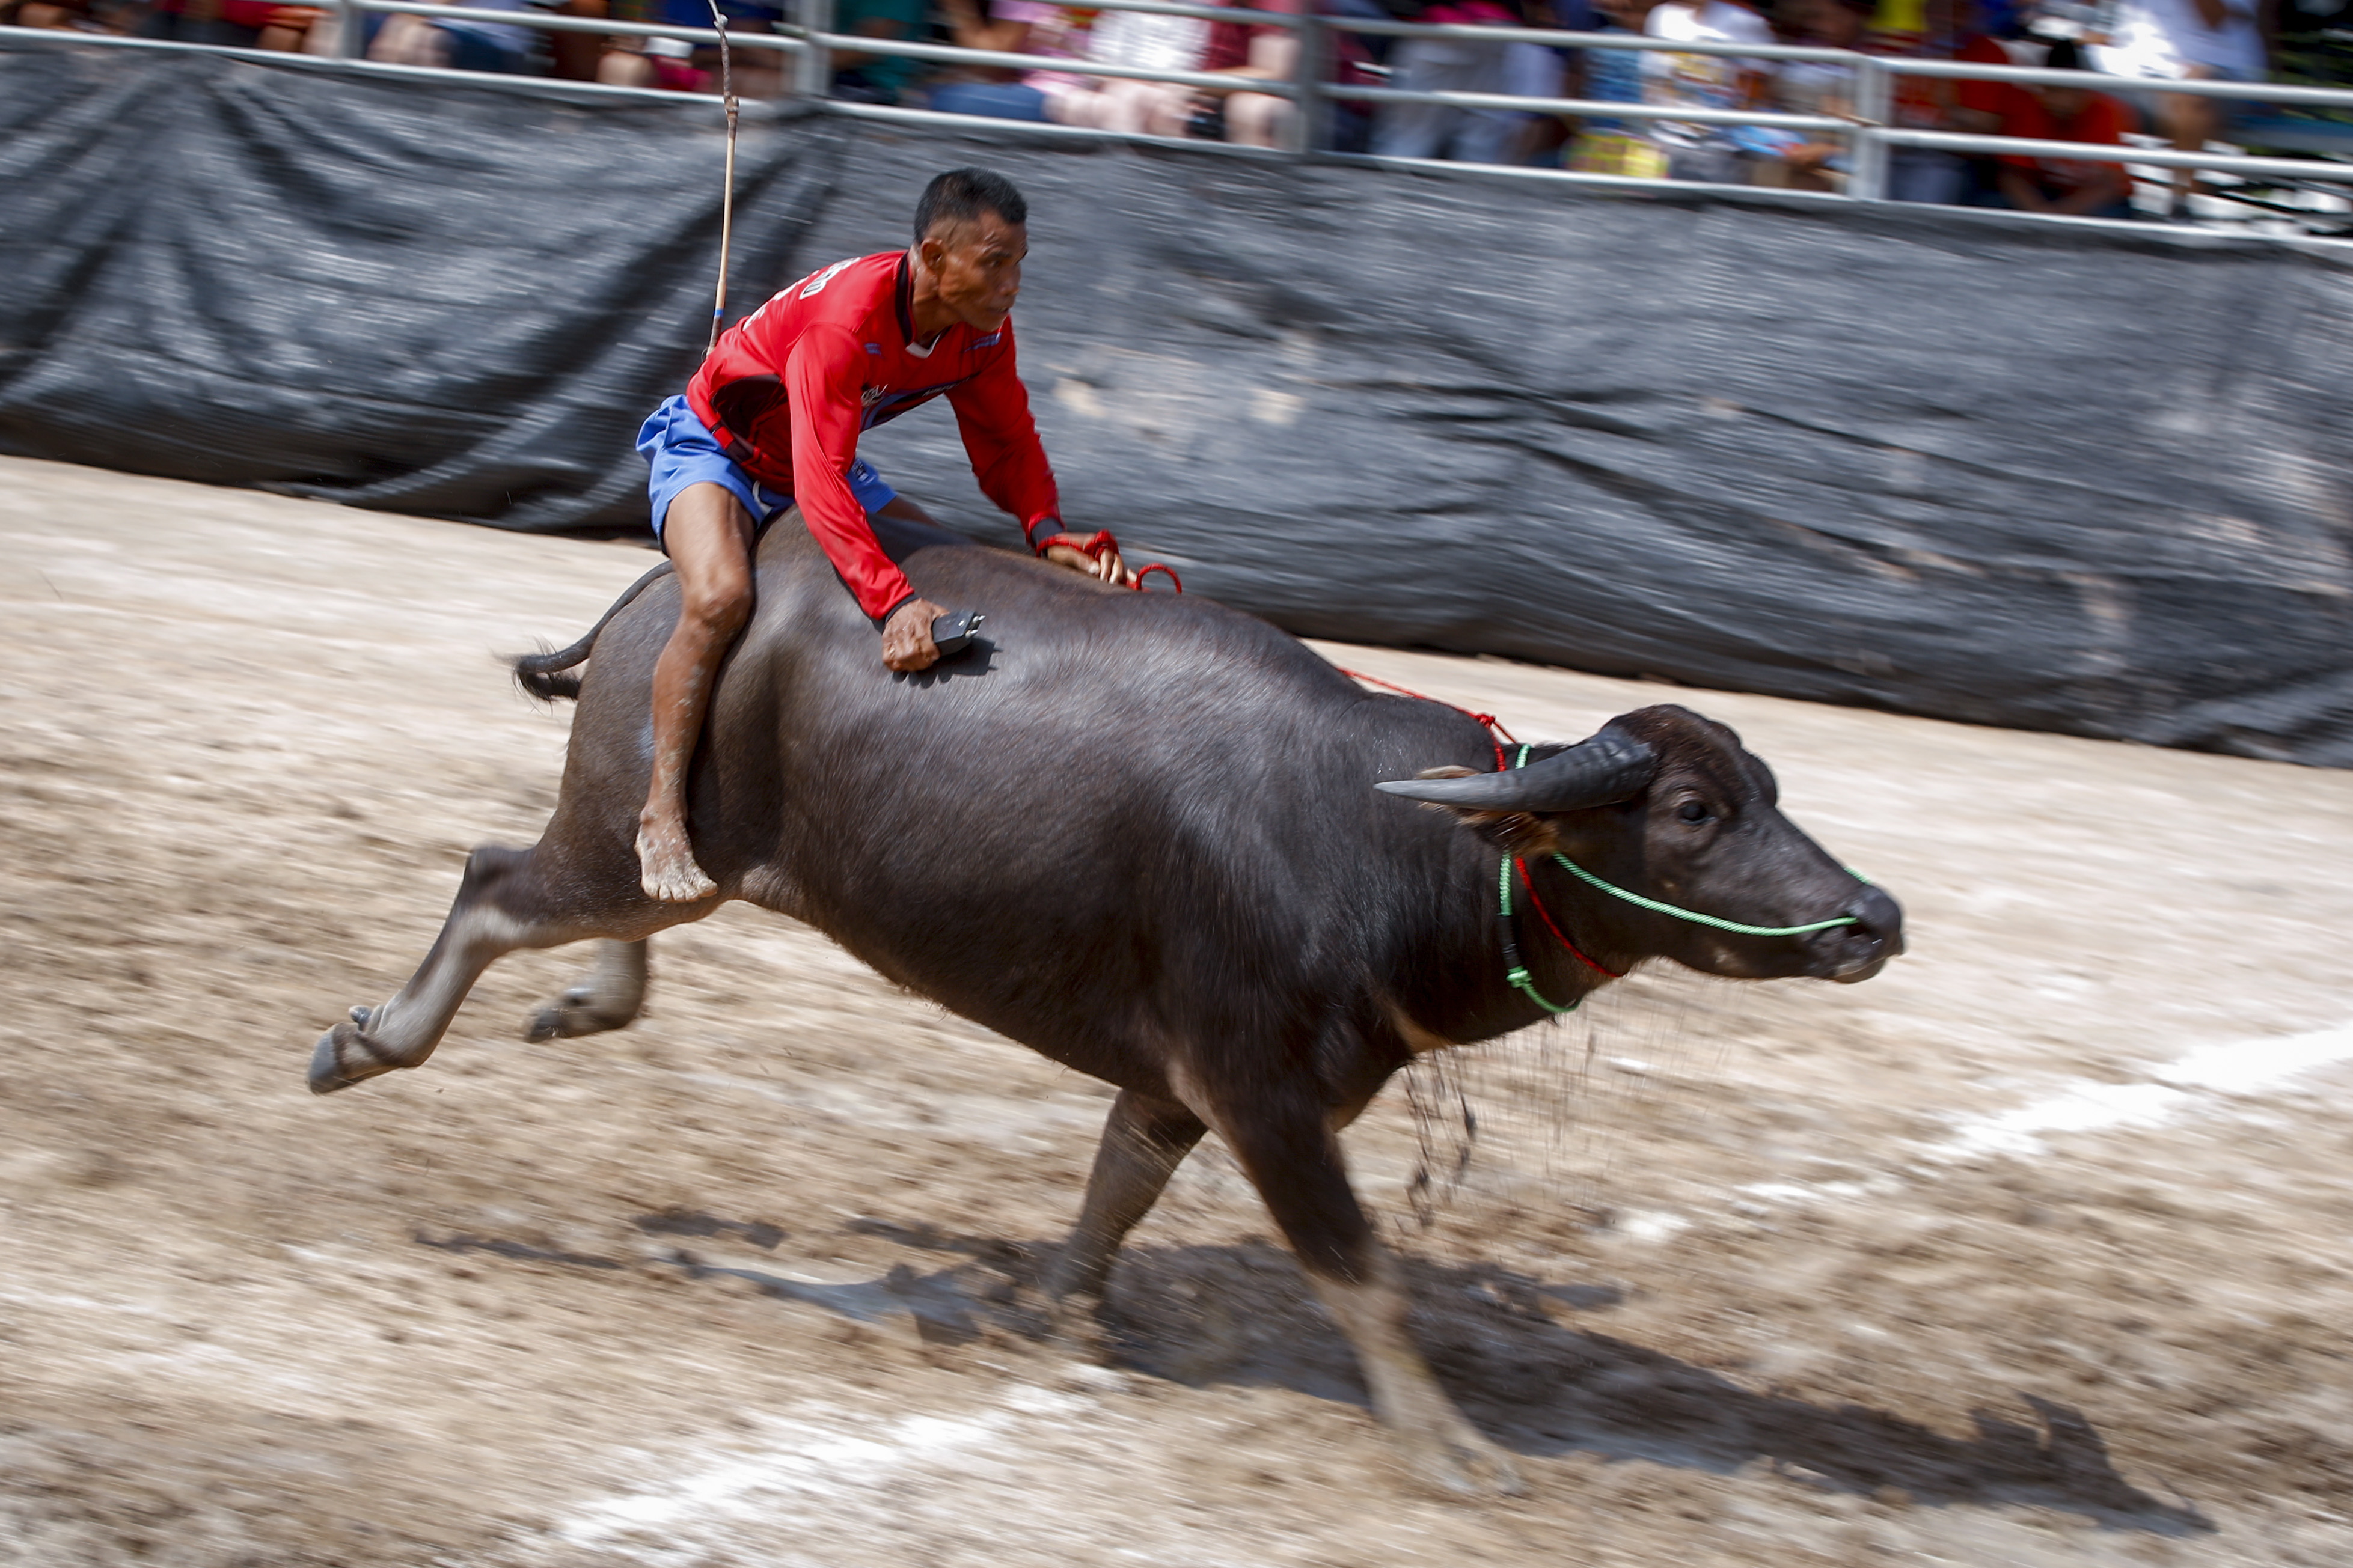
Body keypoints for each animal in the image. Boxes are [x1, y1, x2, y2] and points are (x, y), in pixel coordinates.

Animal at [313, 512, 1901, 1495]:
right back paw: (368, 1040)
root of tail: (670, 590)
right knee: (494, 881)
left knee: (616, 909)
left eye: (1768, 785)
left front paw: (1061, 1317)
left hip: (680, 862)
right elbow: (1361, 1268)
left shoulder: (1184, 1079)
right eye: (1691, 809)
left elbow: (1114, 1186)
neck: (1390, 842)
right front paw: (1450, 1442)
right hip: (602, 840)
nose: (1871, 916)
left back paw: (589, 1000)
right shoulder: (1265, 1093)